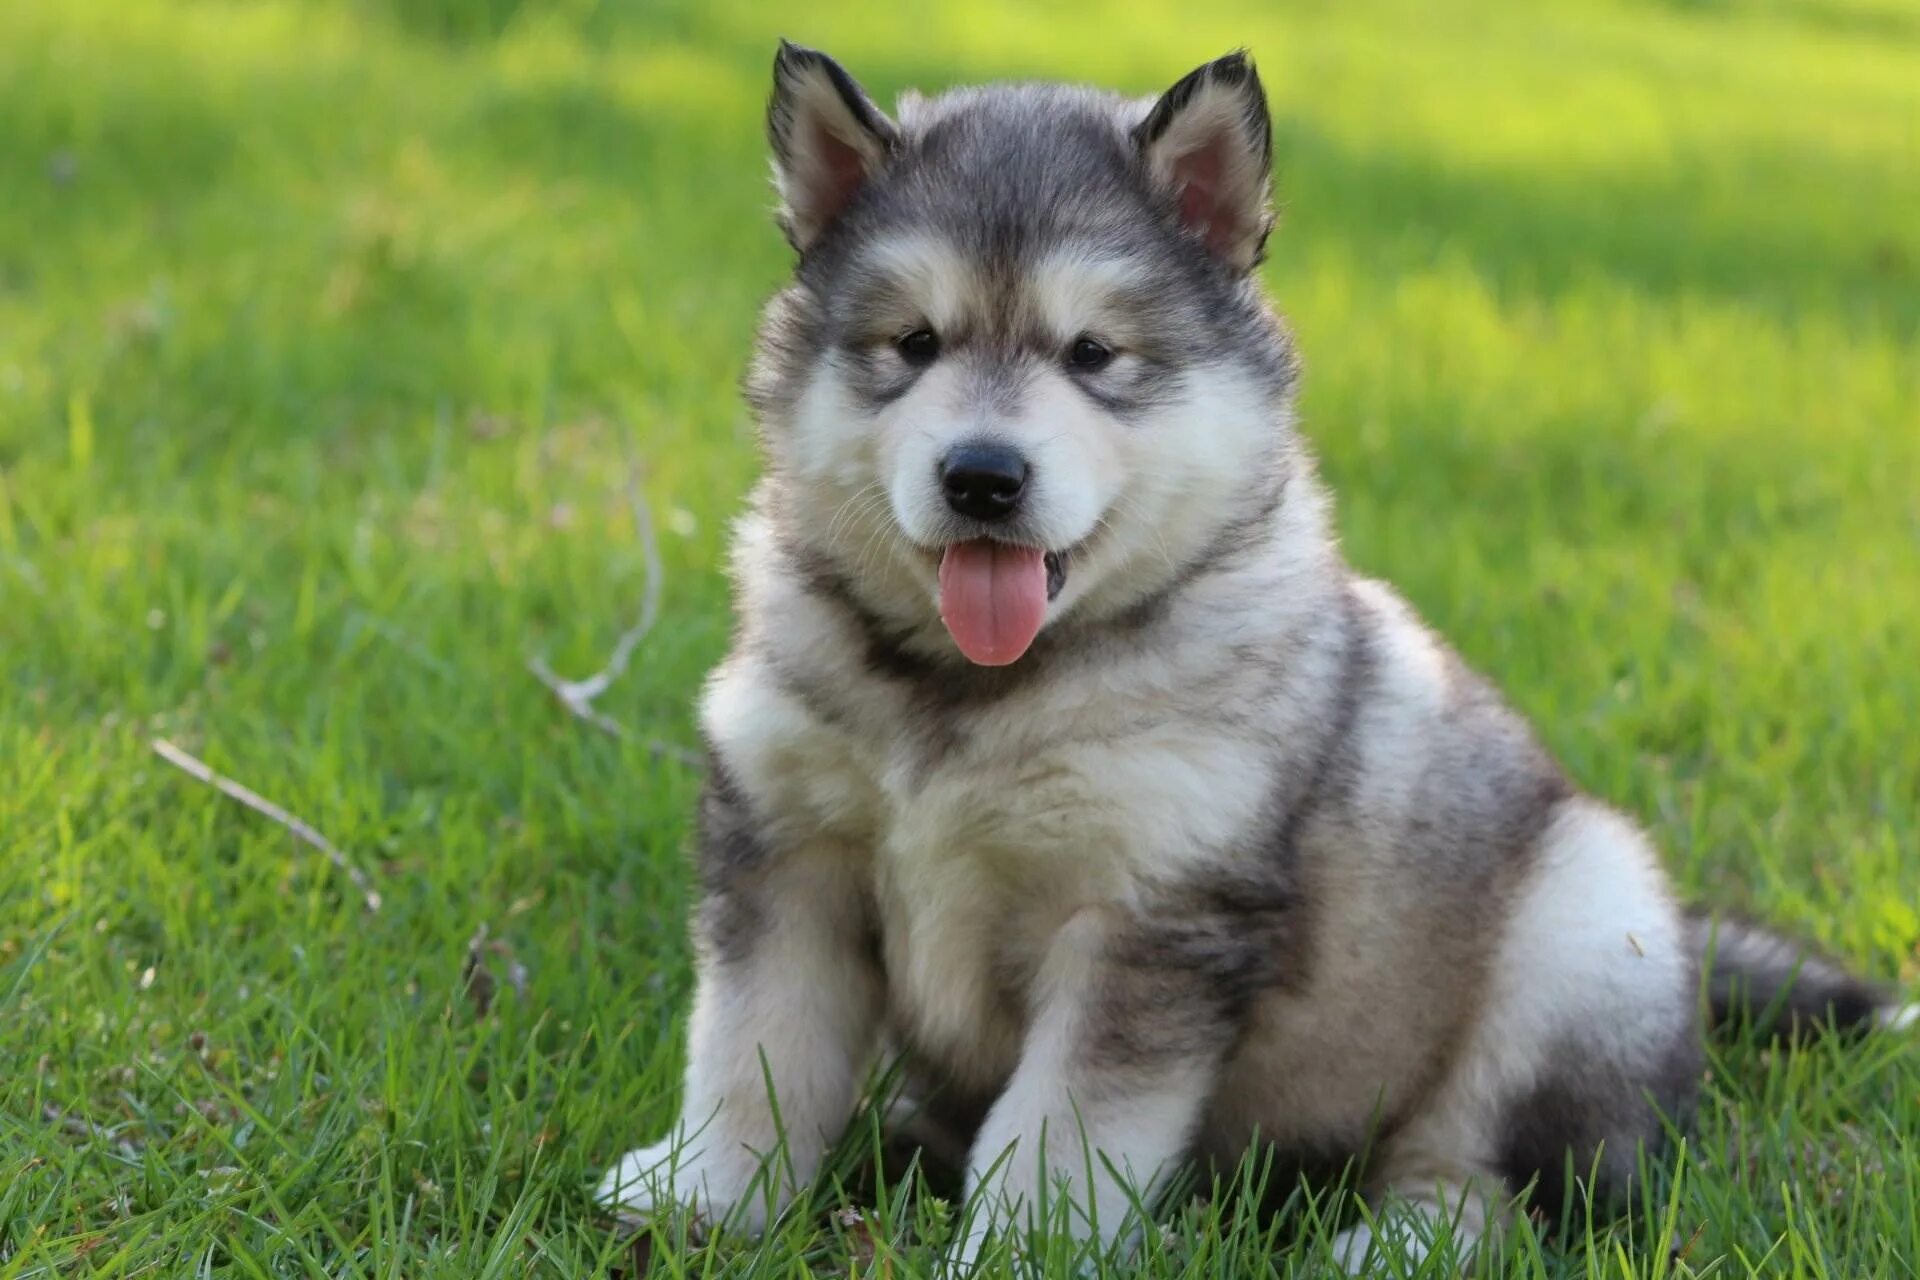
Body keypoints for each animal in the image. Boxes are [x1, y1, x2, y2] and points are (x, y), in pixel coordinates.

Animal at [595, 40, 1904, 1274]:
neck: (975, 692)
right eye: (913, 342)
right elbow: (755, 1048)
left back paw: (1388, 1245)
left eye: (1093, 354)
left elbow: (1062, 1124)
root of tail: (1682, 946)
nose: (982, 475)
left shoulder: (1150, 913)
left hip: (1576, 941)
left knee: (1503, 1182)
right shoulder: (788, 846)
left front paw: (1021, 1246)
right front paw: (702, 1196)